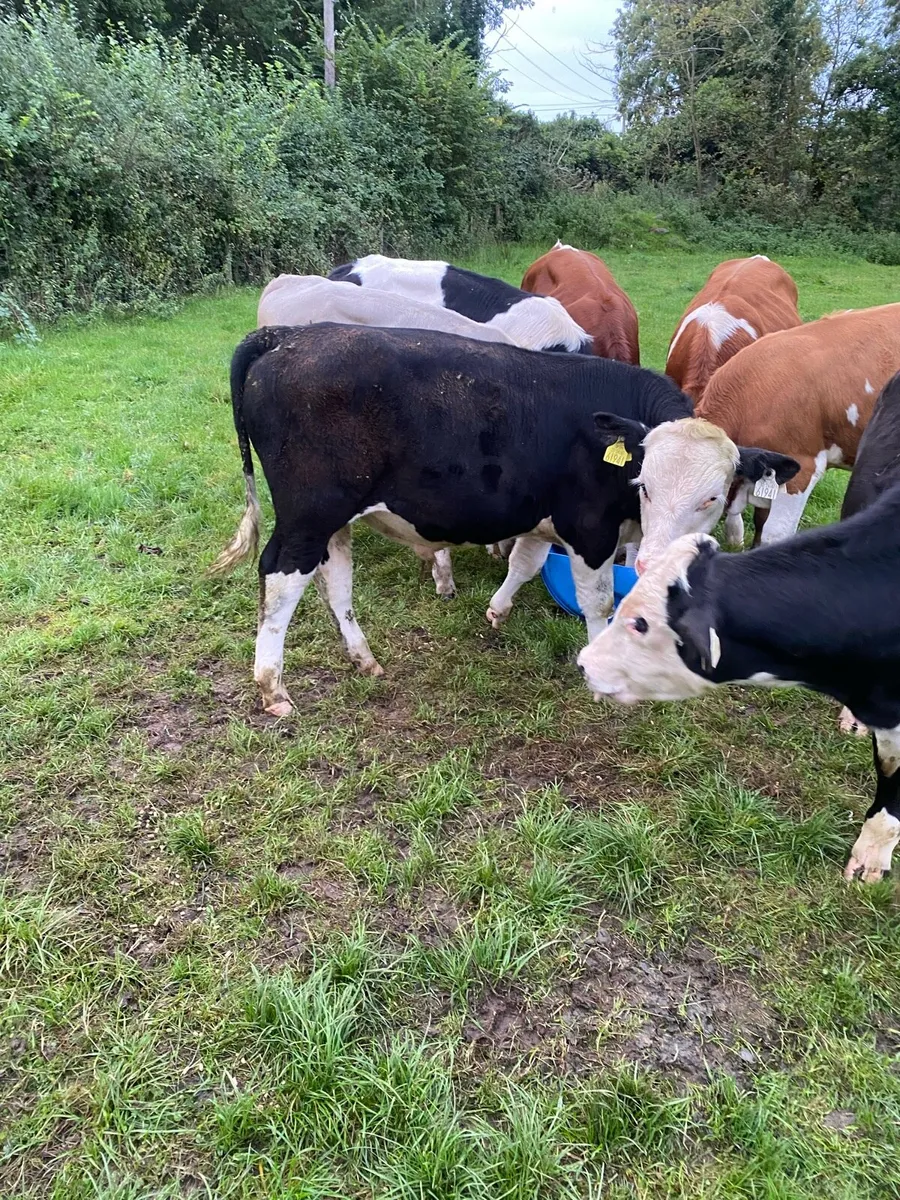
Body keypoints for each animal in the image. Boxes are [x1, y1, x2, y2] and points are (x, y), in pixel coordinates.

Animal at [209, 323, 692, 716]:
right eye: (644, 483)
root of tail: (286, 335)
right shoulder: (590, 529)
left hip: (331, 520)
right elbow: (600, 603)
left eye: (708, 497)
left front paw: (498, 610)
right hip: (307, 516)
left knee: (336, 581)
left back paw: (363, 658)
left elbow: (526, 563)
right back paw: (273, 689)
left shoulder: (545, 519)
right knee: (280, 578)